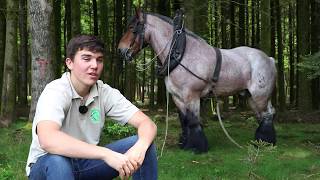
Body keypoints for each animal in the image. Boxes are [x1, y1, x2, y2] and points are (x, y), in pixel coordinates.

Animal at [117, 9, 278, 153]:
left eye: (131, 28)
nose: (120, 50)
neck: (182, 54)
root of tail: (269, 59)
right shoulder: (177, 97)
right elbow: (184, 121)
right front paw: (185, 144)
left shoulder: (191, 96)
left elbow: (193, 121)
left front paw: (197, 147)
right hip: (250, 96)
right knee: (262, 115)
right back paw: (261, 141)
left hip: (260, 95)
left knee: (268, 114)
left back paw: (265, 142)